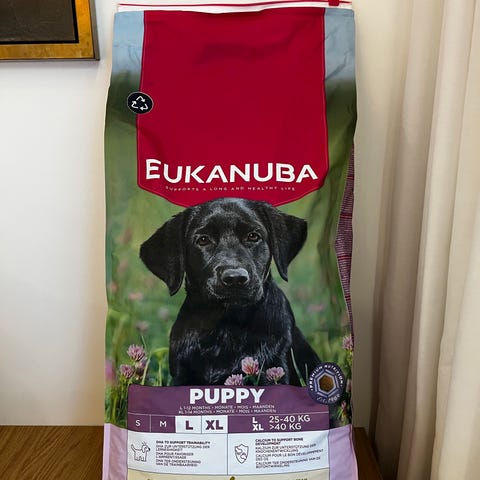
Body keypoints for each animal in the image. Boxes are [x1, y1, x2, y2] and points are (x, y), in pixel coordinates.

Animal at [140, 197, 320, 386]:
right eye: (203, 240)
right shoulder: (183, 376)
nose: (235, 278)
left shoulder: (275, 370)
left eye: (253, 236)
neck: (226, 326)